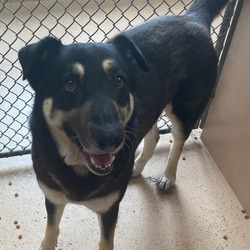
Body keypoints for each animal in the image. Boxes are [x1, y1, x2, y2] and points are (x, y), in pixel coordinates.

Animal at [18, 0, 230, 249]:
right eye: (69, 84)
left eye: (118, 80)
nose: (112, 138)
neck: (78, 166)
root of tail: (193, 18)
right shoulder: (53, 199)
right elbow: (51, 231)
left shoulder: (109, 210)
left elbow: (105, 241)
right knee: (154, 137)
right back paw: (136, 168)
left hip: (183, 109)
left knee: (177, 143)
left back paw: (168, 176)